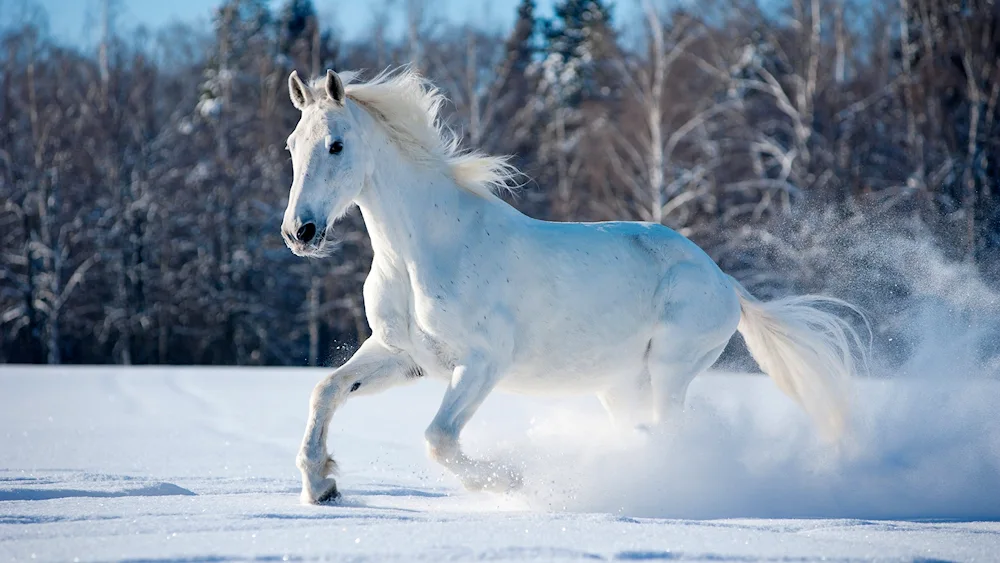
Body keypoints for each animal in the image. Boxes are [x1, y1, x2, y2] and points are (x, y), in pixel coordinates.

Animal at [282, 68, 868, 504]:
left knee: (670, 433)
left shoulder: (483, 362)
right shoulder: (403, 354)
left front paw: (510, 481)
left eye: (336, 145)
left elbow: (439, 439)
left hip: (671, 368)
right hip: (620, 385)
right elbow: (325, 390)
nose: (299, 232)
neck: (422, 251)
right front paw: (322, 485)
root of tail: (723, 280)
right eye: (292, 145)